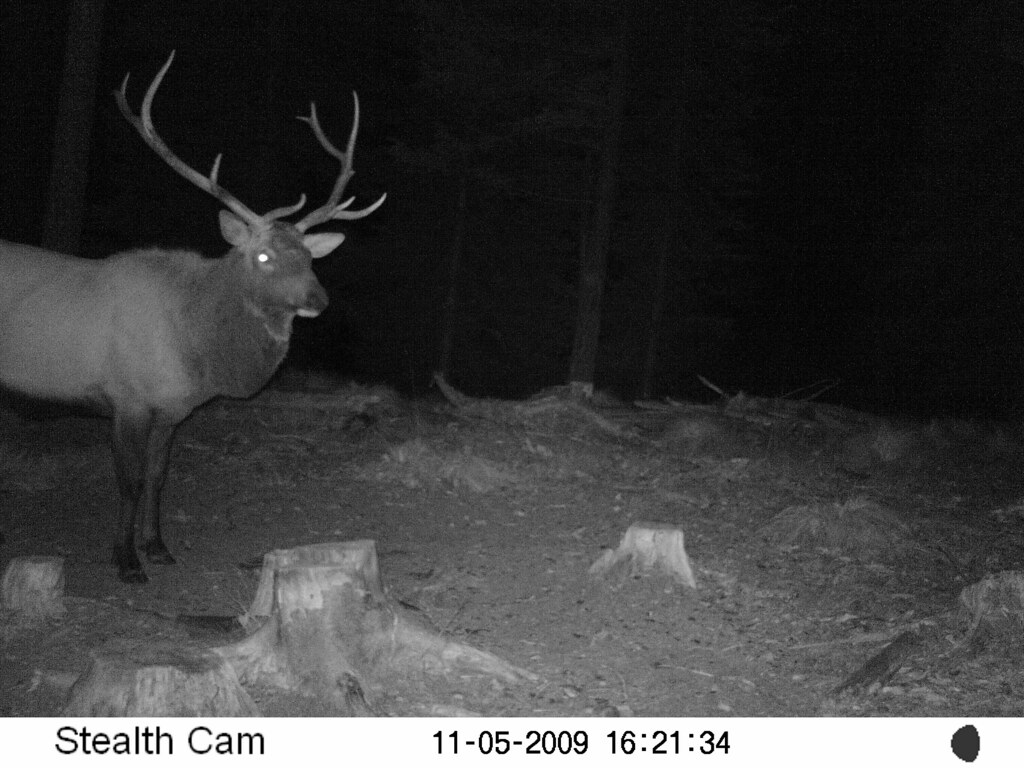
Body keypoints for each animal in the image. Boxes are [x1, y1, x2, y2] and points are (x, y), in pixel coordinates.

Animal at [0, 51, 385, 582]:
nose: (318, 299)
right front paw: (127, 563)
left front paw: (158, 547)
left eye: (310, 256)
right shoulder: (126, 398)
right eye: (262, 256)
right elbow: (129, 481)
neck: (195, 350)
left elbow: (159, 477)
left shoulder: (172, 409)